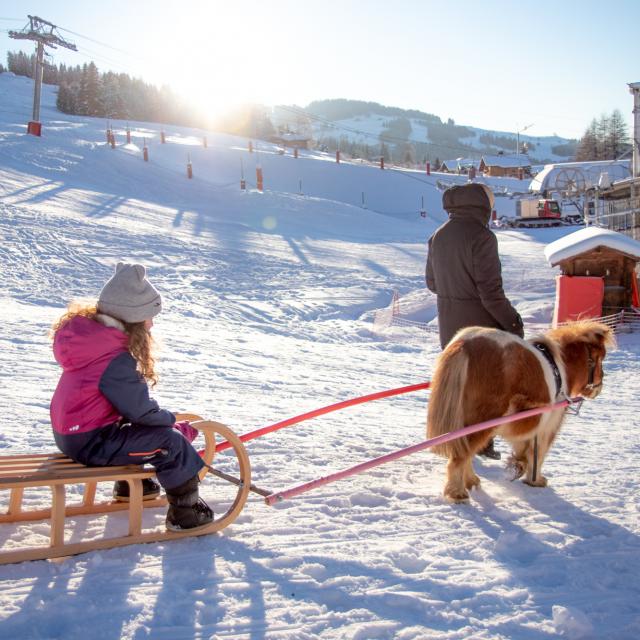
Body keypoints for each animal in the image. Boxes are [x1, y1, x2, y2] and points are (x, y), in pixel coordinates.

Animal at [428, 322, 612, 502]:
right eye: (601, 358)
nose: (599, 386)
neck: (560, 369)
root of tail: (464, 344)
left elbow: (524, 449)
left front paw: (520, 466)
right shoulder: (548, 426)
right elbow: (538, 453)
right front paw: (535, 479)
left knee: (466, 453)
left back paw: (471, 481)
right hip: (482, 423)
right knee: (460, 457)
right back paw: (457, 493)